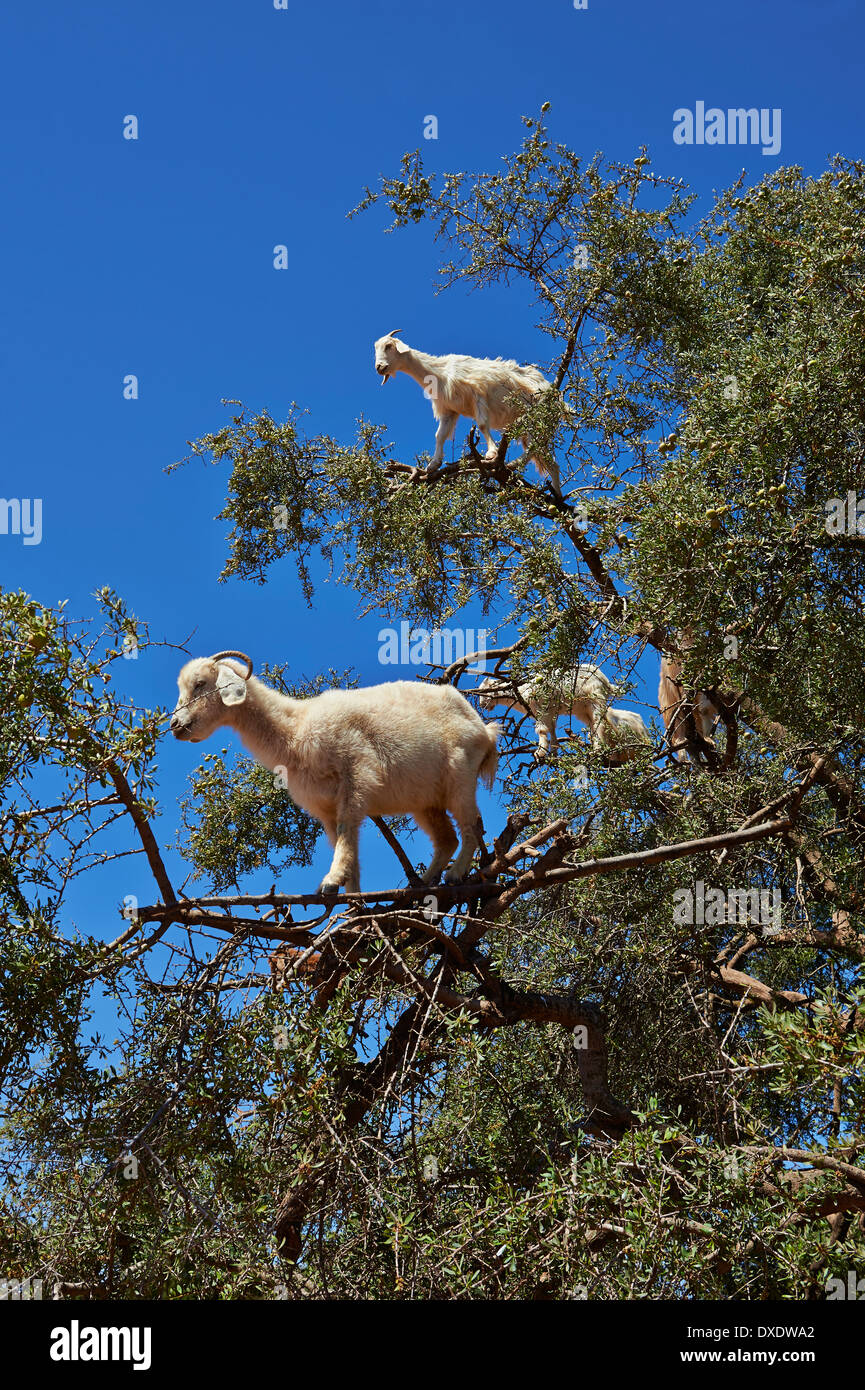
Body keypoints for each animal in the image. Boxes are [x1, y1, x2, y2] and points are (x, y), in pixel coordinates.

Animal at [170, 651, 500, 894]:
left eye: (200, 684)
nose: (174, 725)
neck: (295, 727)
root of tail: (484, 729)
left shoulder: (356, 774)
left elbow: (346, 829)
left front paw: (331, 880)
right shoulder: (323, 806)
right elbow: (346, 843)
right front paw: (352, 902)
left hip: (460, 773)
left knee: (472, 825)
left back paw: (455, 874)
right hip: (425, 798)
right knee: (446, 839)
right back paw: (424, 882)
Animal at [373, 332, 565, 496]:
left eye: (389, 346)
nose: (379, 367)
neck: (439, 371)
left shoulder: (477, 394)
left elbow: (482, 424)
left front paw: (492, 453)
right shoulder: (449, 410)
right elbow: (440, 435)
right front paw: (433, 464)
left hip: (534, 418)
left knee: (535, 449)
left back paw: (513, 464)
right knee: (550, 461)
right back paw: (557, 496)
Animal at [477, 666, 650, 762]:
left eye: (485, 690)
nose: (482, 705)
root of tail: (606, 681)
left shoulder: (542, 708)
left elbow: (542, 730)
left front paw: (540, 753)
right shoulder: (550, 712)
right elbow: (552, 730)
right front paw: (553, 752)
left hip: (595, 698)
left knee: (600, 724)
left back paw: (597, 750)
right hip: (584, 709)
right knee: (594, 724)